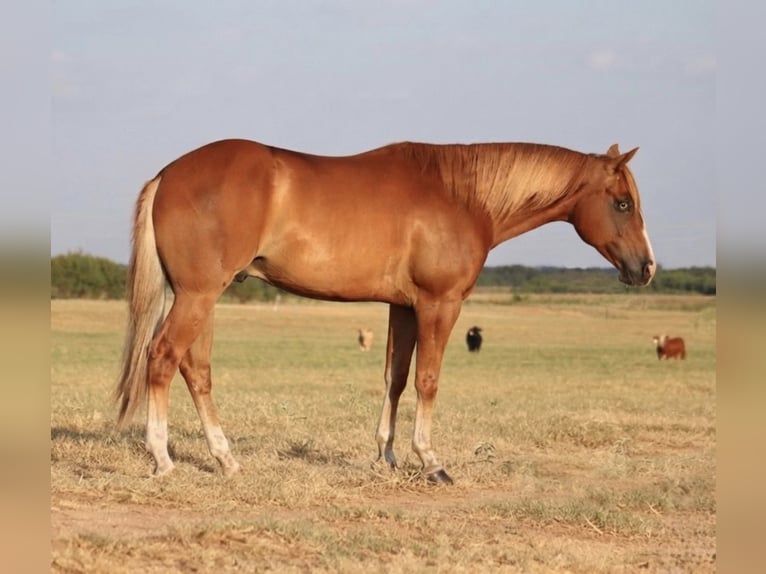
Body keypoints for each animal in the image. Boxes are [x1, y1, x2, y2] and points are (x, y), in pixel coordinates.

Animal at [115, 138, 656, 484]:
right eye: (623, 204)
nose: (646, 268)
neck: (461, 197)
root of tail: (167, 175)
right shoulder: (440, 303)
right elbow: (427, 380)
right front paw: (431, 461)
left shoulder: (403, 307)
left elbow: (395, 377)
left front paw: (387, 455)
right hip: (198, 296)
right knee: (161, 358)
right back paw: (162, 459)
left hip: (202, 297)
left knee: (195, 369)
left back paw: (225, 460)